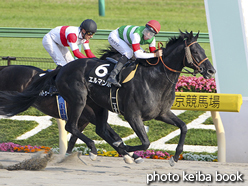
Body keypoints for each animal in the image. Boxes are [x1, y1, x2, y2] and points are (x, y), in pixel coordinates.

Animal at [0, 31, 215, 166]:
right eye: (196, 51)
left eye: (203, 50)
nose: (211, 71)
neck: (154, 78)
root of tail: (61, 70)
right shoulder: (132, 115)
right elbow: (145, 142)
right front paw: (126, 149)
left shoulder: (162, 113)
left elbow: (184, 127)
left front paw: (174, 157)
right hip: (79, 100)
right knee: (72, 126)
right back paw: (96, 149)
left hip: (97, 106)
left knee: (98, 129)